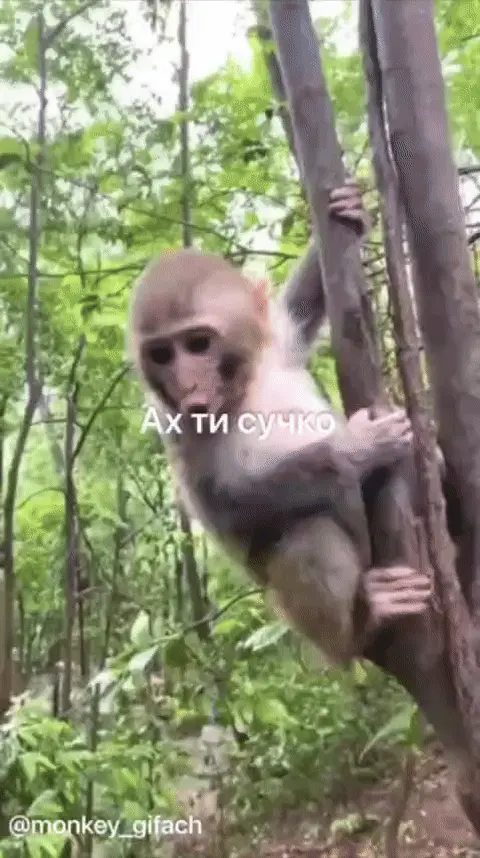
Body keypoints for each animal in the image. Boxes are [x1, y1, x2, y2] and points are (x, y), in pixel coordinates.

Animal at [128, 186, 431, 665]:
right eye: (162, 354)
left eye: (197, 344)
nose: (188, 385)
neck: (244, 387)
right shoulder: (175, 425)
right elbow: (224, 507)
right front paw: (353, 448)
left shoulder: (276, 342)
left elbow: (299, 311)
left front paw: (352, 214)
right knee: (309, 536)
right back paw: (365, 623)